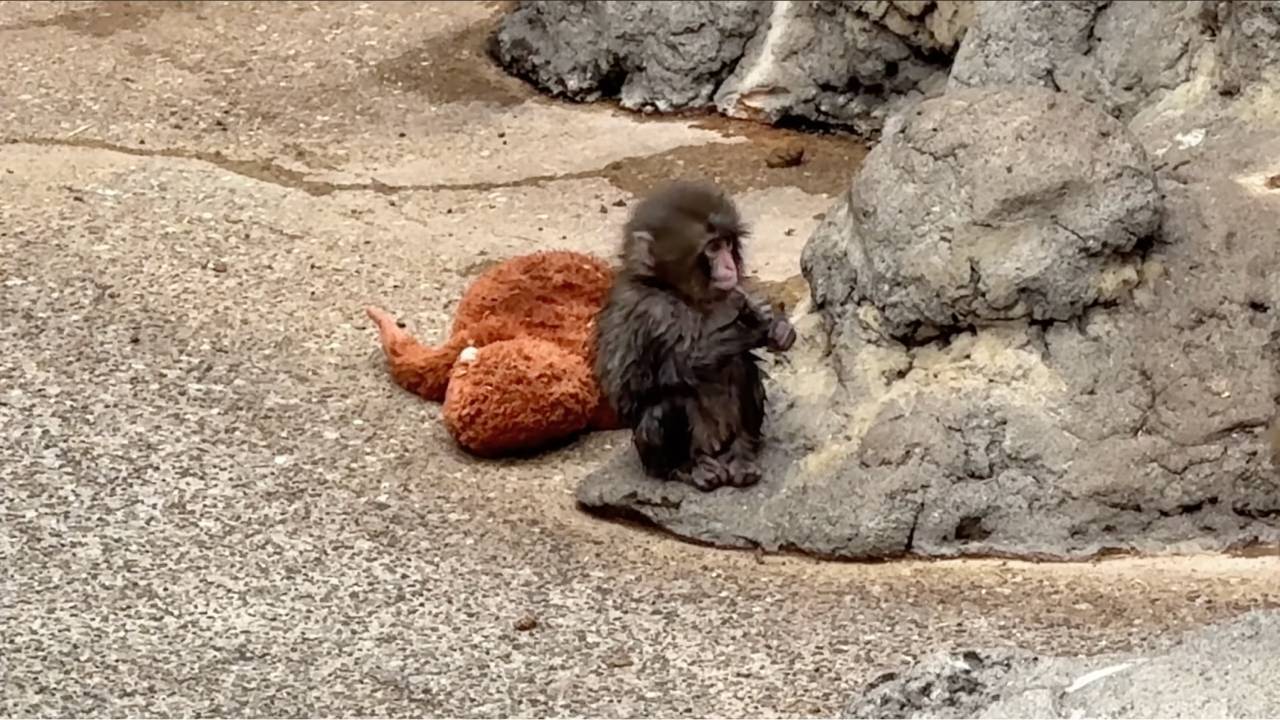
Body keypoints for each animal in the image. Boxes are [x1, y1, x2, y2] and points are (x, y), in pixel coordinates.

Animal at [593, 181, 796, 491]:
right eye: (712, 248)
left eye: (727, 243)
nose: (729, 266)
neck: (682, 293)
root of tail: (715, 450)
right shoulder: (647, 308)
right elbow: (646, 379)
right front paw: (752, 324)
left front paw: (778, 328)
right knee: (667, 402)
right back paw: (688, 467)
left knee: (742, 368)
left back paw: (741, 455)